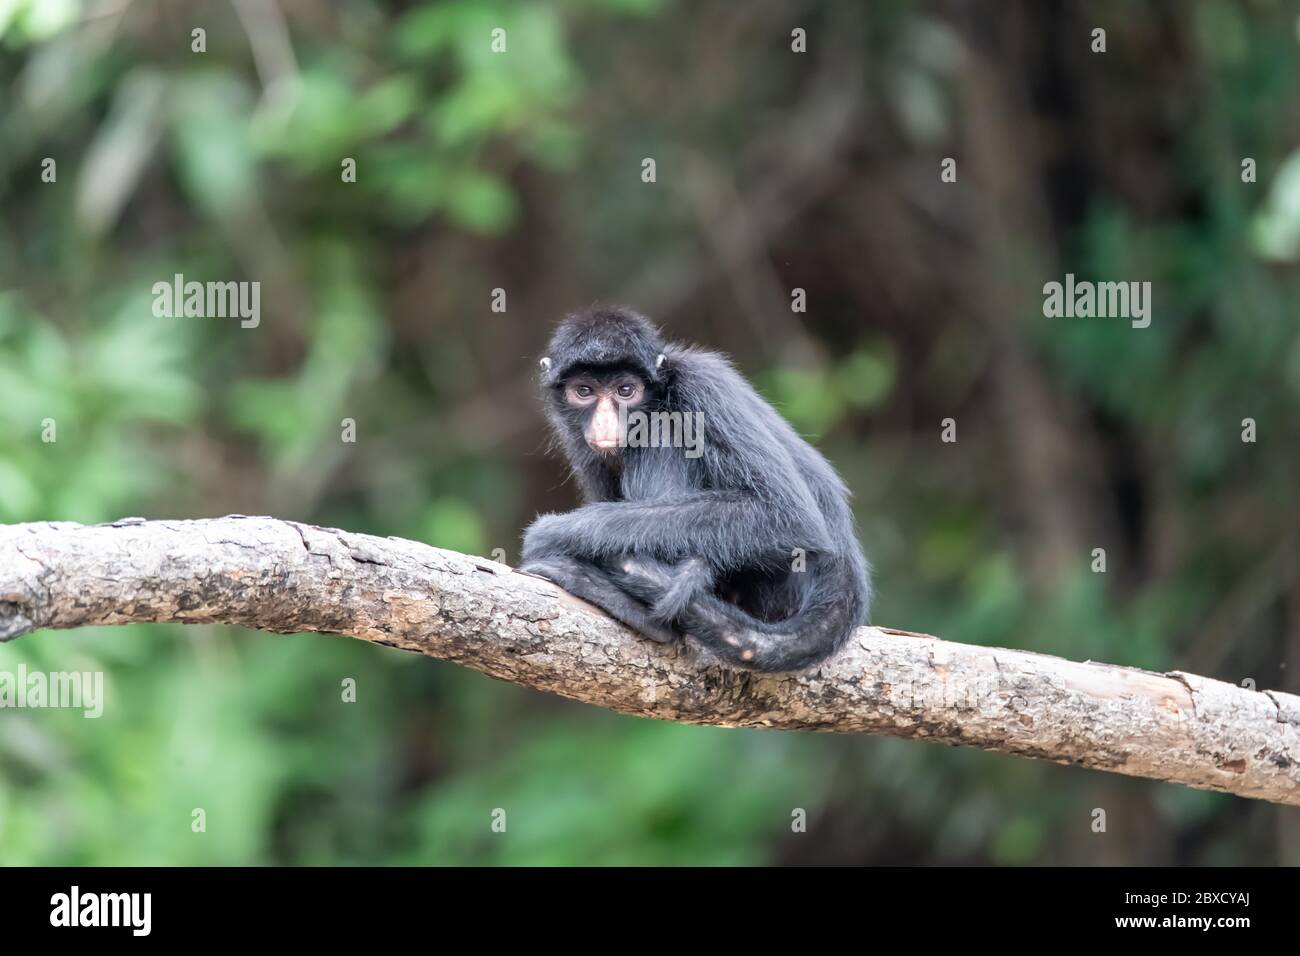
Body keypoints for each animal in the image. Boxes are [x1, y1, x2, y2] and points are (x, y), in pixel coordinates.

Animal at [517, 306, 873, 671]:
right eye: (584, 391)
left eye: (626, 391)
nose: (604, 422)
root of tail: (846, 567)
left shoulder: (703, 383)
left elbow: (790, 518)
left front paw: (555, 533)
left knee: (661, 427)